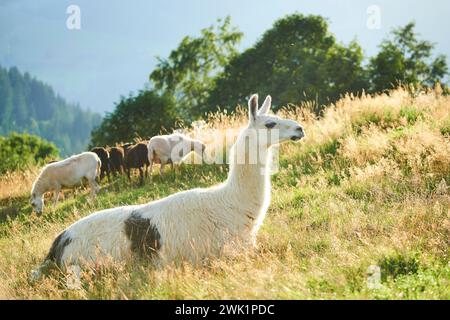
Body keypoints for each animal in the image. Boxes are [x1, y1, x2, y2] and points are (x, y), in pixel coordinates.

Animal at [33, 93, 304, 276]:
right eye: (270, 123)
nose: (300, 129)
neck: (230, 203)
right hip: (88, 264)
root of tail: (59, 241)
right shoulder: (229, 252)